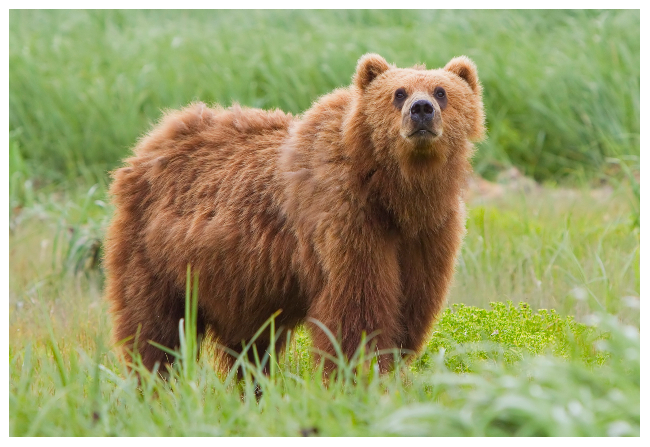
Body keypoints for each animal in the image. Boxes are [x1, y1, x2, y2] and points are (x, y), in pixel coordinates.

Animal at [104, 52, 484, 376]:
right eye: (398, 93)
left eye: (441, 91)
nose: (421, 109)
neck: (395, 194)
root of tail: (151, 141)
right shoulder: (346, 219)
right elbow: (357, 311)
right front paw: (359, 374)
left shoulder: (428, 234)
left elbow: (410, 309)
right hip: (156, 255)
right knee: (155, 330)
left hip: (238, 283)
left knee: (249, 348)